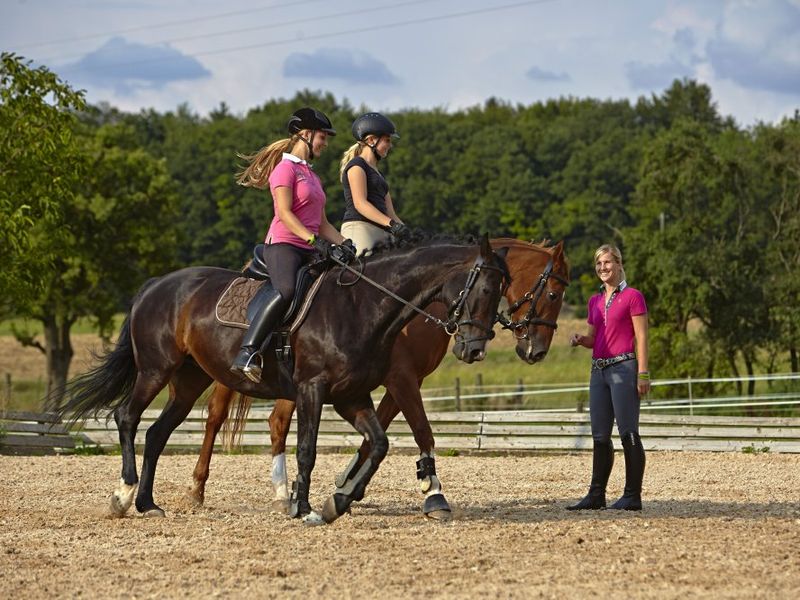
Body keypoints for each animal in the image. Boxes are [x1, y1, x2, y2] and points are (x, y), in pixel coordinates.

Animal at [50, 234, 510, 524]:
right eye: (486, 290)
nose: (473, 349)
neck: (363, 304)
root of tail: (156, 284)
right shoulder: (313, 389)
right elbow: (307, 449)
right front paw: (303, 507)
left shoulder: (352, 395)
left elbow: (379, 445)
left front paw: (336, 501)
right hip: (154, 369)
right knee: (127, 418)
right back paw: (123, 496)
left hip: (188, 381)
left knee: (157, 433)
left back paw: (148, 504)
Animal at [189, 239, 568, 520]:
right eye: (552, 294)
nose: (535, 351)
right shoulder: (401, 378)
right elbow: (421, 430)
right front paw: (433, 494)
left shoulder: (389, 382)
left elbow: (377, 436)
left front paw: (346, 487)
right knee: (217, 417)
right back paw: (197, 489)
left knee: (276, 422)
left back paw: (284, 494)